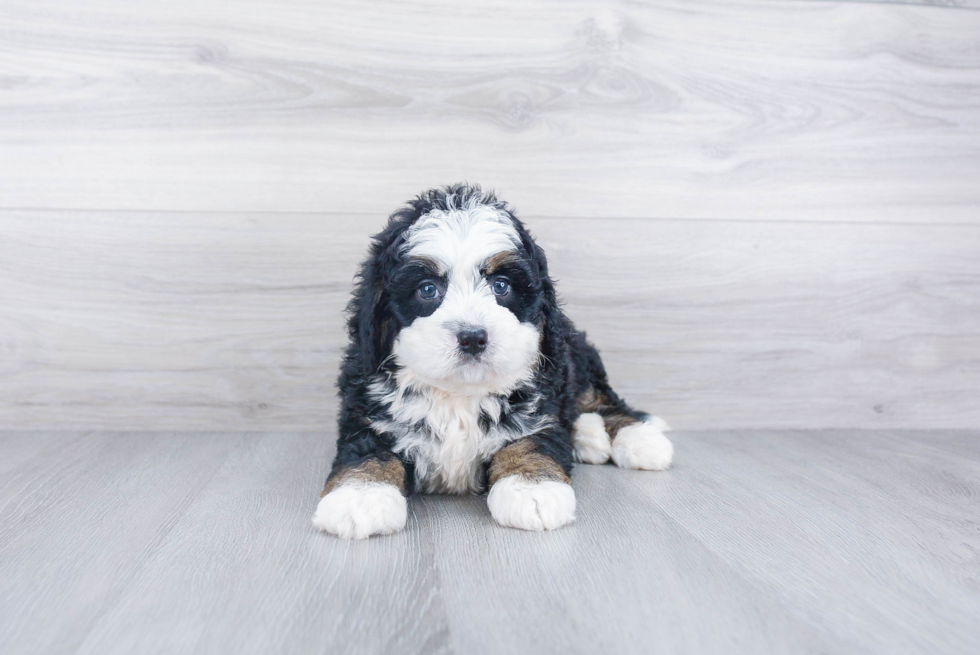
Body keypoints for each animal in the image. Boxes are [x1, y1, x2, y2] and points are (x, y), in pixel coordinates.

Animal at [314, 183, 672, 540]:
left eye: (501, 286)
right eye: (427, 290)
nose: (473, 337)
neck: (459, 394)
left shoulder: (539, 407)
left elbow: (528, 442)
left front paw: (532, 488)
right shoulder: (367, 410)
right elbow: (368, 452)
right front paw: (360, 495)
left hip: (576, 356)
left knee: (600, 400)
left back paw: (640, 439)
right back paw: (588, 437)